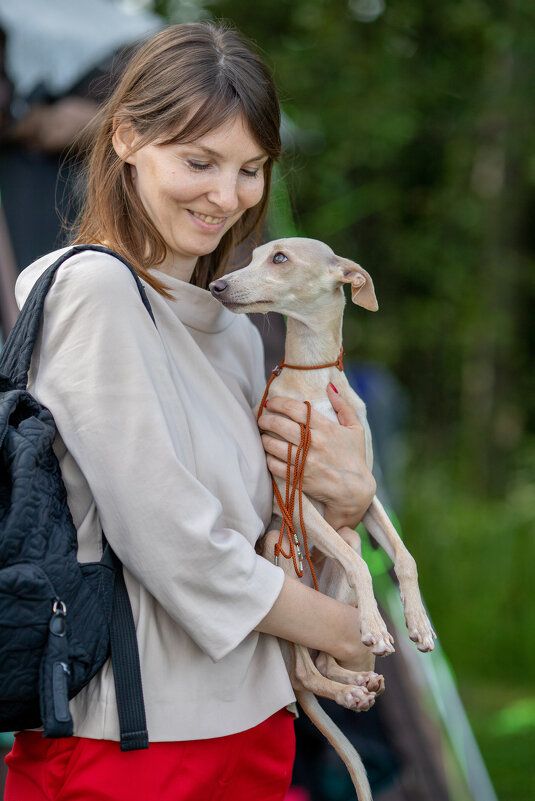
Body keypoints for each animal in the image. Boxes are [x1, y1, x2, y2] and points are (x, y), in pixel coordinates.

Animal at [209, 239, 436, 800]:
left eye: (279, 258)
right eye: (255, 255)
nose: (218, 285)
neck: (314, 376)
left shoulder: (366, 491)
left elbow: (405, 557)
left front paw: (418, 624)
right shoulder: (297, 503)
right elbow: (367, 572)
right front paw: (379, 627)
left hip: (347, 540)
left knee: (326, 650)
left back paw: (357, 683)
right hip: (280, 552)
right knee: (302, 675)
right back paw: (347, 682)